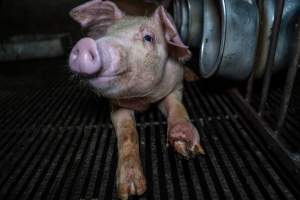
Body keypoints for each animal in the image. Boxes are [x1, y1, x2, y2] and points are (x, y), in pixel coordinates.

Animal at [68, 0, 204, 199]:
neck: (143, 99)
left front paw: (186, 145)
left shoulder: (175, 85)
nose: (85, 44)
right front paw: (131, 190)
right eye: (106, 33)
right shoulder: (115, 104)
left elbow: (176, 106)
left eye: (148, 37)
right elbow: (127, 132)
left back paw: (194, 77)